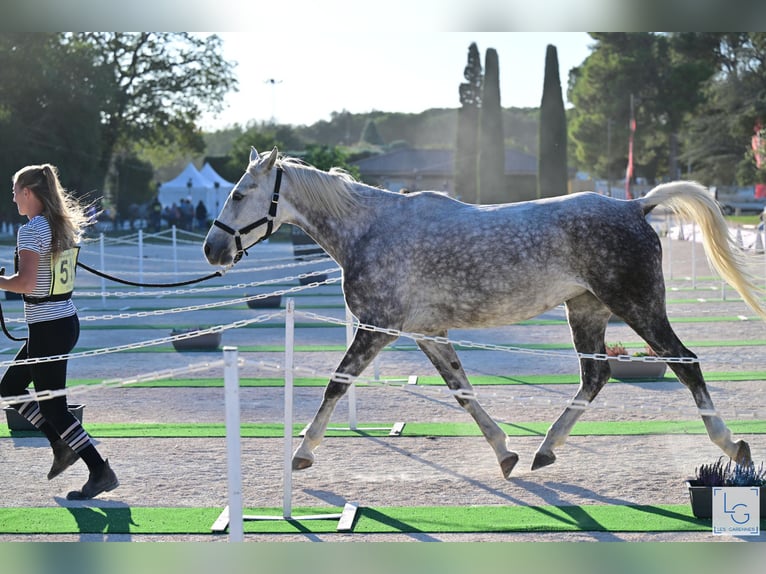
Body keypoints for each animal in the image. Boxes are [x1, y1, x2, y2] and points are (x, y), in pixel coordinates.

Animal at [201, 148, 764, 482]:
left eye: (239, 193)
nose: (212, 250)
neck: (371, 229)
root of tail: (635, 205)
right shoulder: (427, 333)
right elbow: (462, 390)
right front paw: (505, 453)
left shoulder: (377, 329)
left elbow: (336, 384)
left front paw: (302, 452)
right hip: (586, 311)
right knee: (596, 376)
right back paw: (544, 450)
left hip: (639, 307)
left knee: (685, 363)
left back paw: (732, 445)